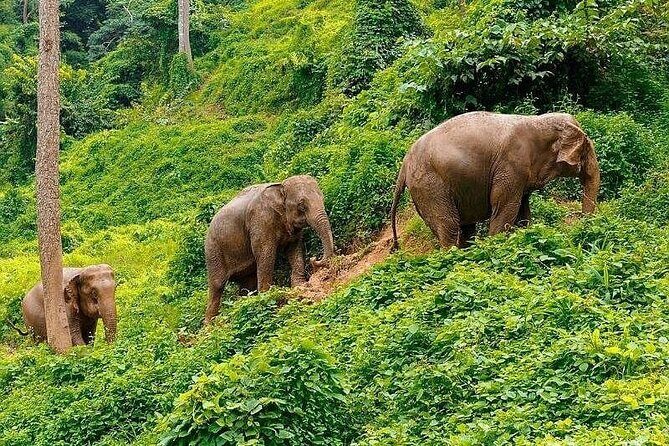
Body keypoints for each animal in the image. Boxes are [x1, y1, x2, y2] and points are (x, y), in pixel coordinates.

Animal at [204, 175, 335, 324]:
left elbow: (294, 249)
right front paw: (267, 297)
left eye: (323, 198)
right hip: (213, 250)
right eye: (301, 205)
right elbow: (266, 255)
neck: (280, 187)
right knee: (217, 285)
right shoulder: (260, 222)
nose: (314, 258)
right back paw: (210, 325)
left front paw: (300, 286)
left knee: (247, 282)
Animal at [390, 111, 600, 249]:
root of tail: (404, 165)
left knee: (465, 228)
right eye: (586, 149)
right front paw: (496, 245)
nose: (580, 227)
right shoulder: (511, 166)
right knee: (449, 226)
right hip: (430, 186)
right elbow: (505, 208)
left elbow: (522, 211)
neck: (538, 121)